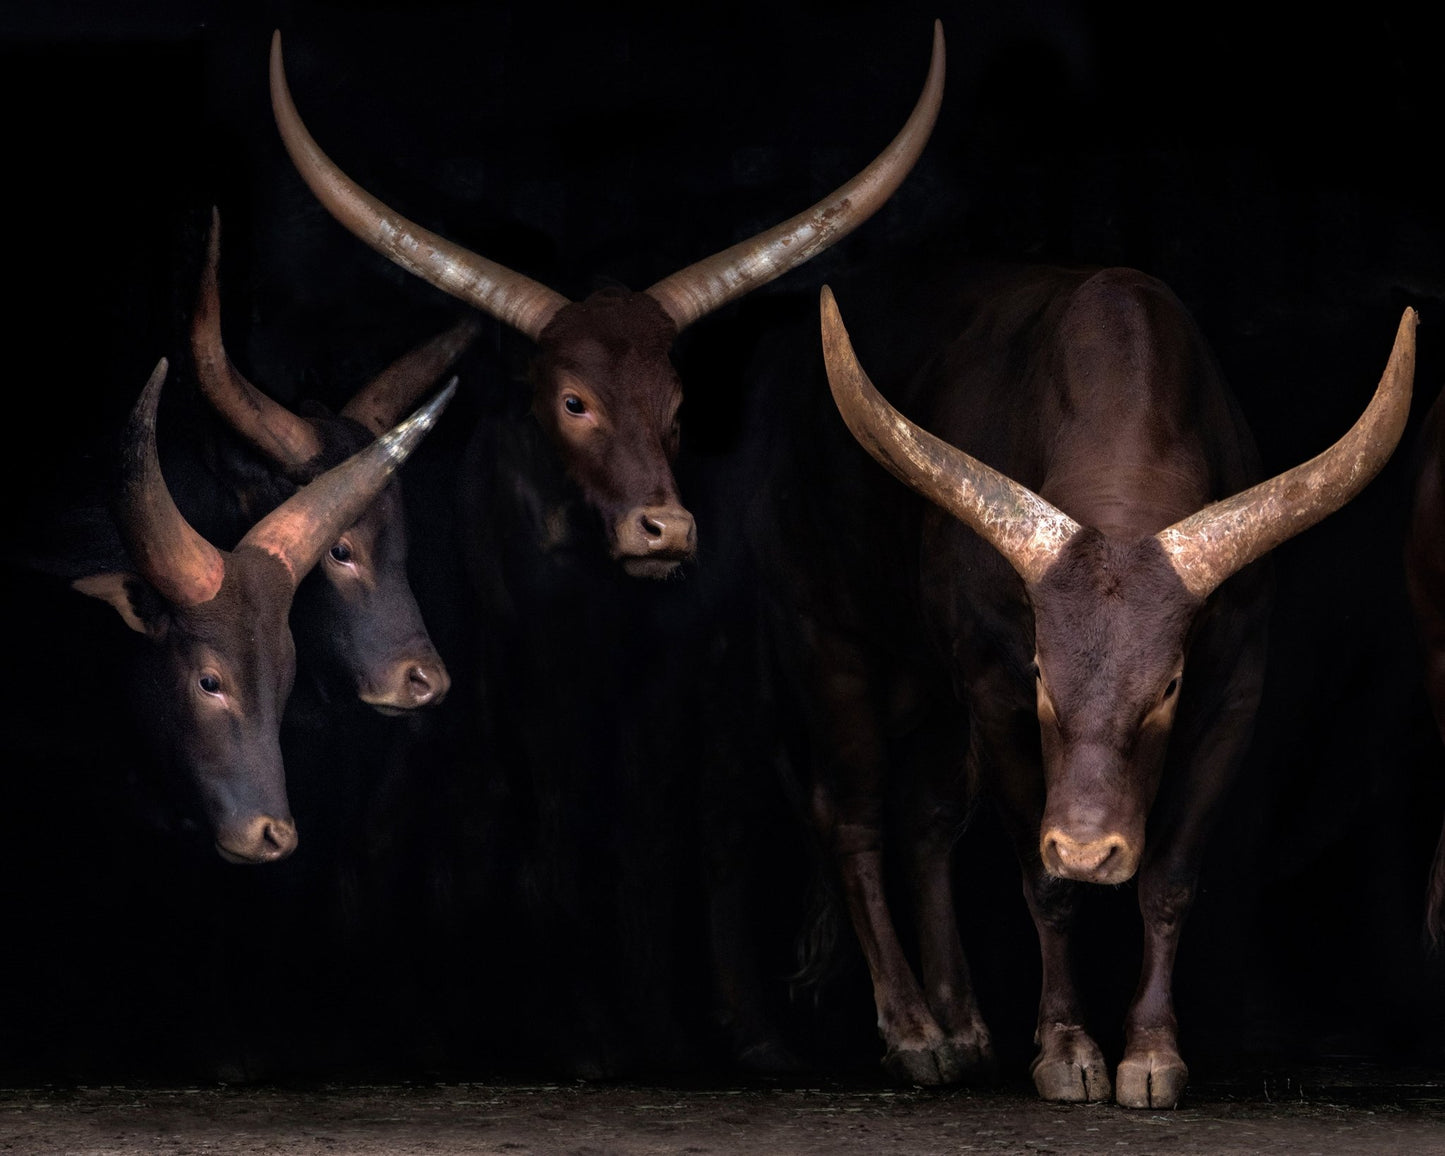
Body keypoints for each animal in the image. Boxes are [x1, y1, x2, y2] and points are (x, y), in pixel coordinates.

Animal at [751, 263, 1414, 1106]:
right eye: (1040, 675)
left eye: (1167, 687)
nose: (1088, 849)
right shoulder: (991, 687)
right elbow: (1043, 883)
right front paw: (1066, 1049)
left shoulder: (1234, 692)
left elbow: (1169, 878)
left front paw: (1151, 1053)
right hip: (826, 638)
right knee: (851, 817)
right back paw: (912, 1032)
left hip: (931, 688)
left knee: (926, 819)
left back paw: (961, 1028)